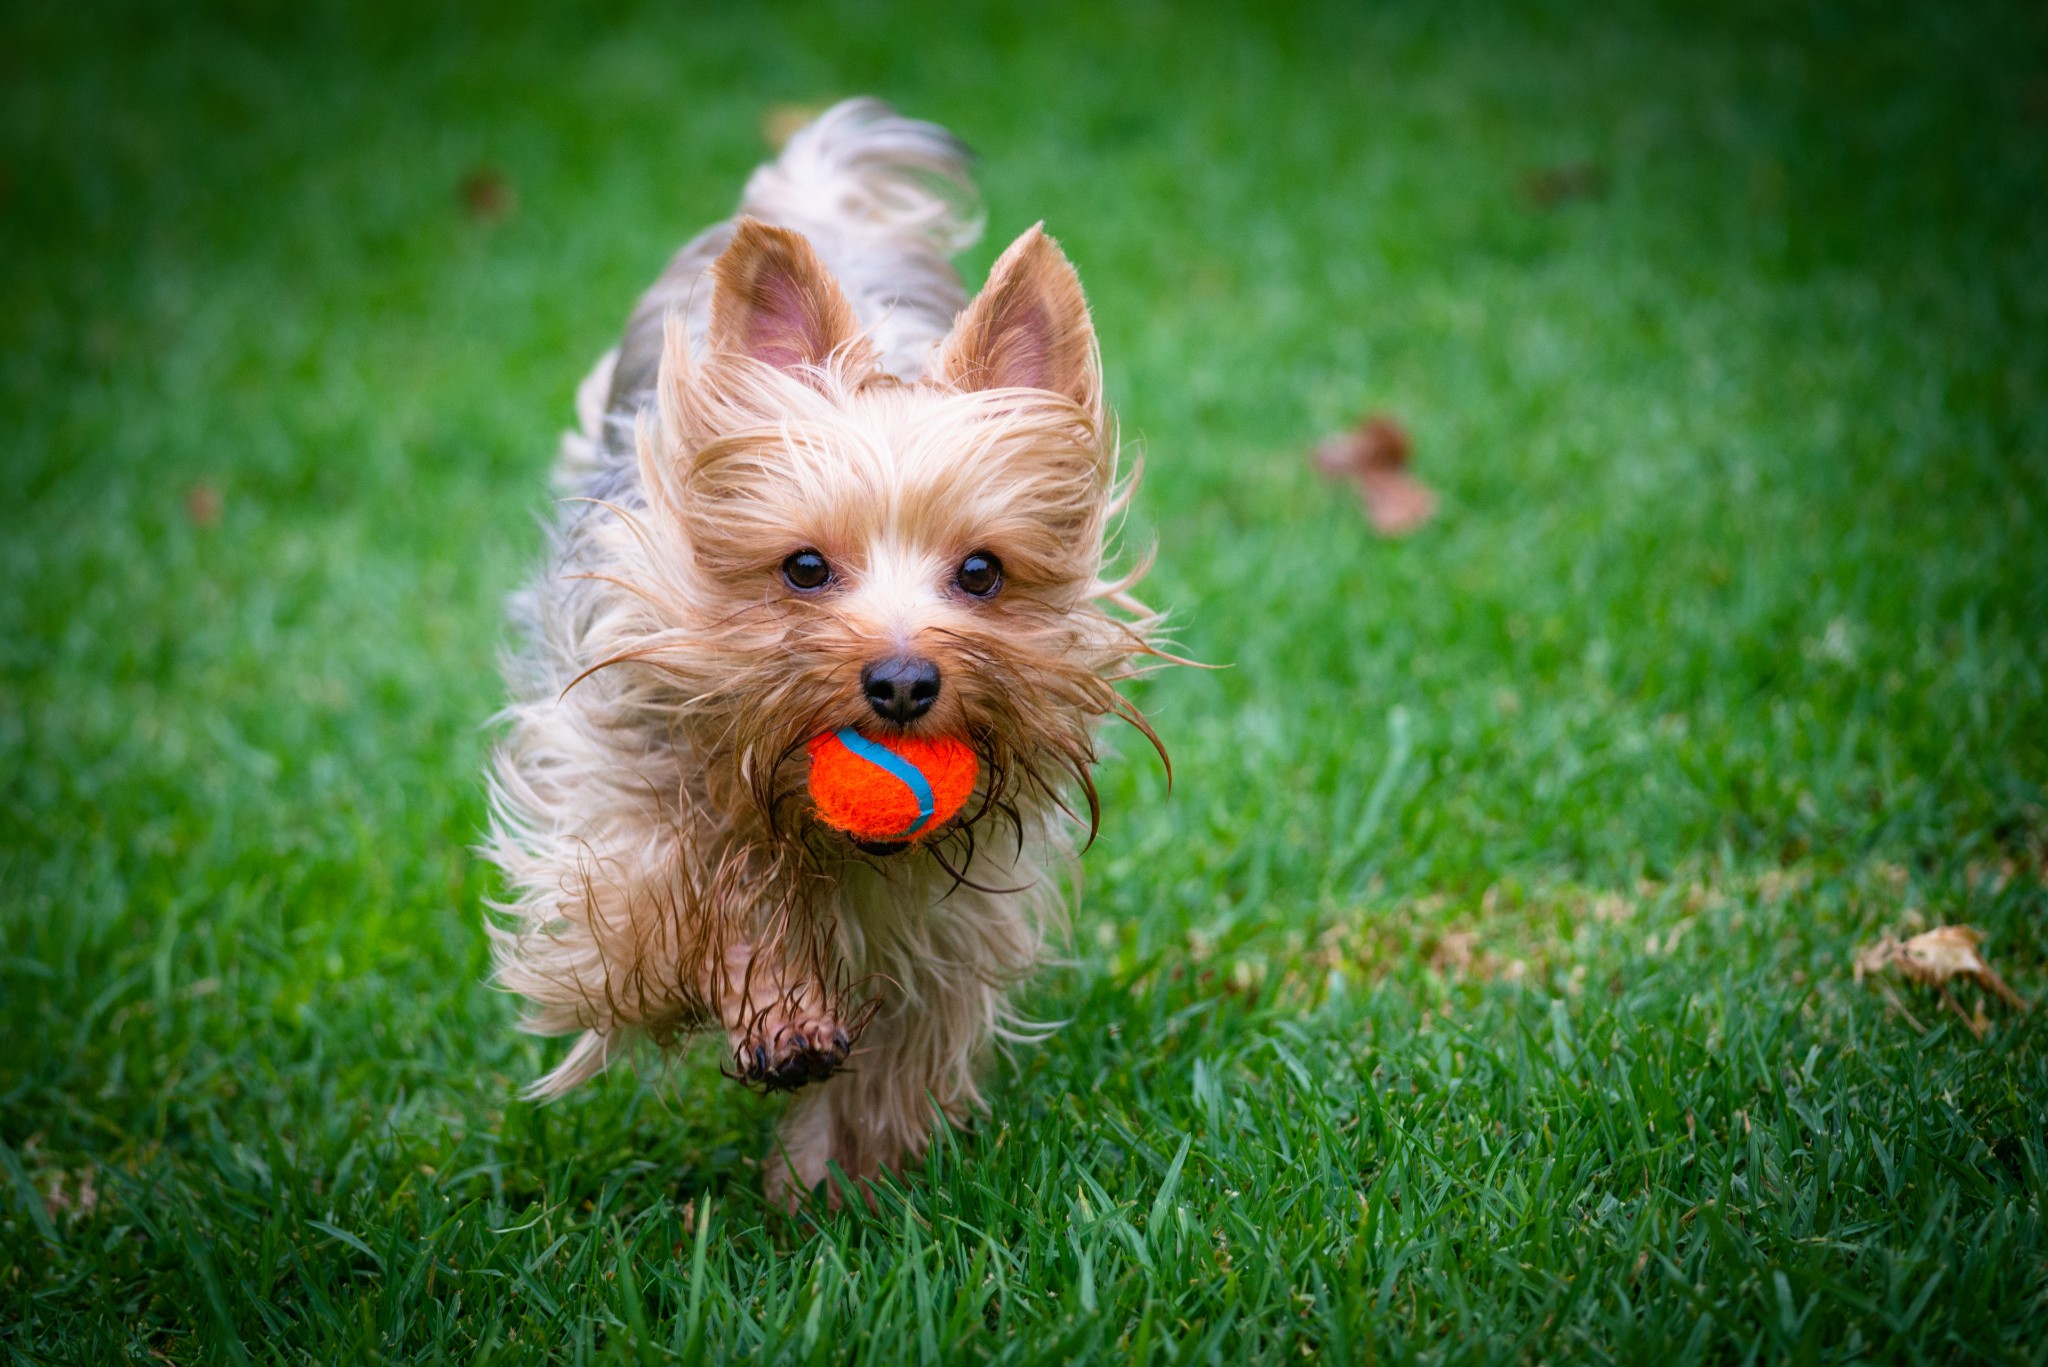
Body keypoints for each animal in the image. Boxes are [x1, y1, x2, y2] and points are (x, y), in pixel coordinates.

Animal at [471, 98, 1163, 1205]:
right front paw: (776, 1002)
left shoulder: (944, 919)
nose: (902, 681)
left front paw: (828, 1185)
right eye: (802, 566)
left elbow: (898, 1049)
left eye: (982, 572)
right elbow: (677, 886)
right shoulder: (608, 797)